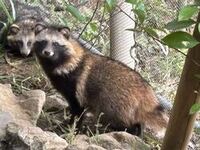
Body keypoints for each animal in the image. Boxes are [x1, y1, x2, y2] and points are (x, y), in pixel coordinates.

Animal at [33, 23, 169, 137]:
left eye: (55, 44)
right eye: (43, 41)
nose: (47, 52)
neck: (61, 61)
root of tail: (145, 90)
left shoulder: (76, 88)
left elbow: (78, 111)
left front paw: (71, 129)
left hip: (114, 104)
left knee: (121, 121)